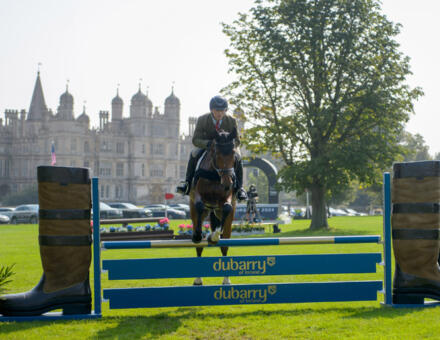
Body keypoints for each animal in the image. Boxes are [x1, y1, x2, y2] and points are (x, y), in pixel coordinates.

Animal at [188, 129, 237, 286]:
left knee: (225, 245)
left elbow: (227, 207)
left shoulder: (226, 199)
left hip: (223, 217)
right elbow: (199, 205)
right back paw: (198, 278)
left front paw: (214, 236)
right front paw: (198, 235)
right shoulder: (197, 195)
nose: (227, 183)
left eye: (234, 154)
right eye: (217, 153)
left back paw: (226, 279)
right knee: (198, 246)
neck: (215, 175)